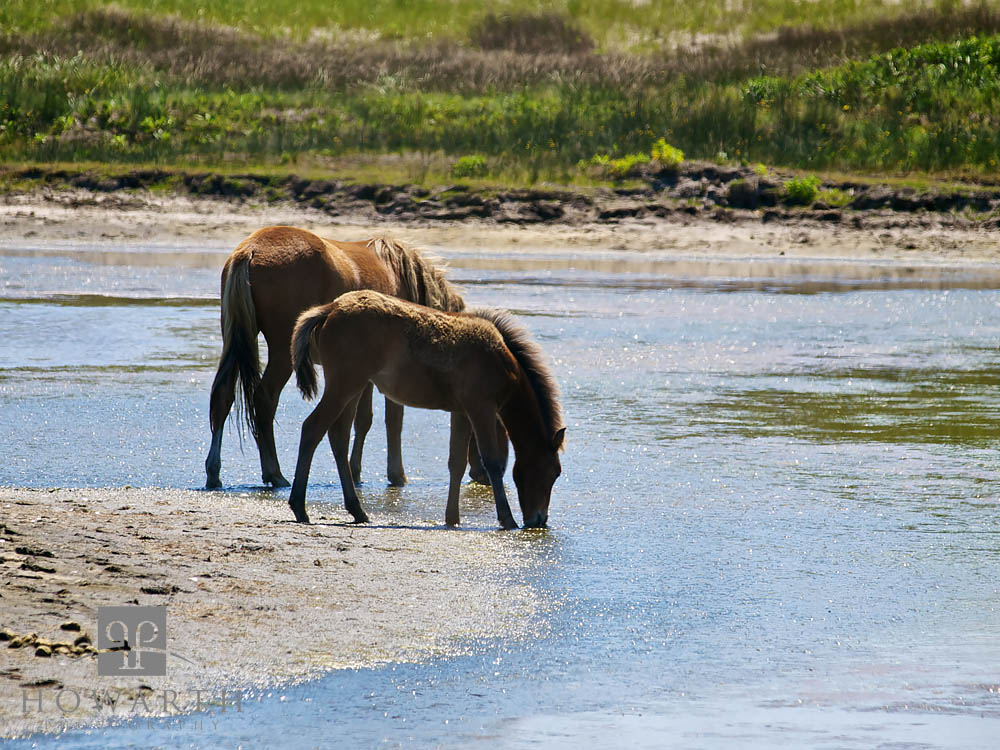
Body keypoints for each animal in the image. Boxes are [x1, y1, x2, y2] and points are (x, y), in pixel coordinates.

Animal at [204, 225, 469, 490]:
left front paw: (356, 471)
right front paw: (396, 475)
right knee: (264, 399)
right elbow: (392, 420)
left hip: (234, 338)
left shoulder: (365, 372)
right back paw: (274, 473)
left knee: (223, 396)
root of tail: (250, 250)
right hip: (282, 352)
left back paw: (214, 472)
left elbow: (363, 419)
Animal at [289, 290, 566, 530]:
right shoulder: (482, 408)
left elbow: (457, 463)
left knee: (338, 436)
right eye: (554, 472)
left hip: (353, 387)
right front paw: (507, 519)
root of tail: (330, 308)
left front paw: (452, 518)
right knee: (312, 428)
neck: (504, 365)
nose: (539, 519)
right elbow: (492, 462)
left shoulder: (462, 412)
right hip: (345, 383)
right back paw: (299, 507)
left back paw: (356, 510)